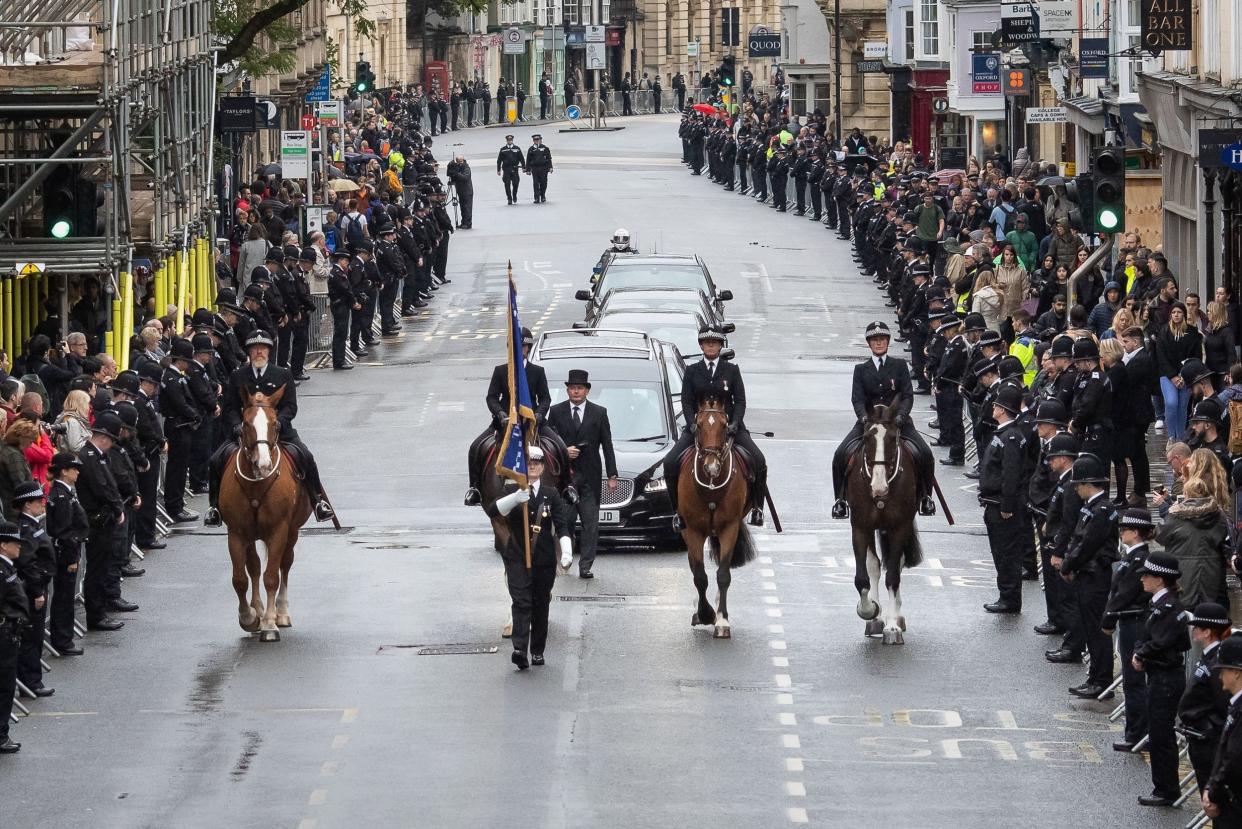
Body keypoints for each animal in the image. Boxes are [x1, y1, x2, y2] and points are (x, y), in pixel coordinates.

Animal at [217, 385, 309, 646]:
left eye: (275, 423)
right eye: (246, 424)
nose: (264, 464)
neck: (256, 485)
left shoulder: (279, 530)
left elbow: (271, 577)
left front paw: (269, 624)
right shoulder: (237, 533)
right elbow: (240, 578)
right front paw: (249, 617)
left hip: (292, 531)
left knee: (284, 565)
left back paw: (281, 613)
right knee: (255, 567)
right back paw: (257, 610)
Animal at [680, 395, 755, 641]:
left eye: (724, 426)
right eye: (698, 424)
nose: (711, 467)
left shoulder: (728, 528)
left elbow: (723, 575)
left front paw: (722, 620)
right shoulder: (692, 530)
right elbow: (700, 576)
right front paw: (705, 614)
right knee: (694, 567)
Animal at [844, 405, 924, 646]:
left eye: (892, 438)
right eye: (867, 438)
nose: (878, 489)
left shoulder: (899, 526)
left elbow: (893, 576)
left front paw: (892, 627)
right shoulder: (861, 526)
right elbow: (864, 575)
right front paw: (870, 611)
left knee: (896, 563)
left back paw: (895, 616)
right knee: (877, 565)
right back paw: (878, 618)